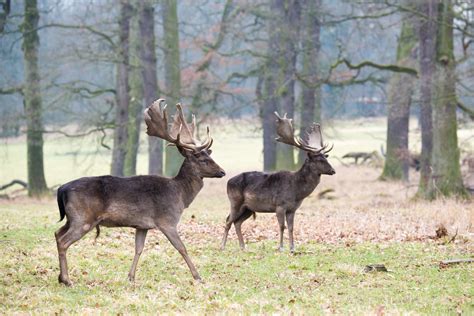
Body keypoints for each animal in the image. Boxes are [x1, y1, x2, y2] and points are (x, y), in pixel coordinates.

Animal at [54, 99, 225, 286]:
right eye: (203, 160)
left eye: (210, 156)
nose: (222, 172)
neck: (180, 195)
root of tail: (62, 189)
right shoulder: (167, 220)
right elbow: (182, 248)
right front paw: (198, 277)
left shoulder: (142, 225)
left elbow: (139, 249)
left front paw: (130, 277)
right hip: (83, 218)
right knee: (63, 241)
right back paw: (67, 280)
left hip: (72, 218)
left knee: (57, 233)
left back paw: (61, 277)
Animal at [221, 112, 336, 253]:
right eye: (319, 159)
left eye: (325, 157)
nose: (333, 170)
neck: (297, 192)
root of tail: (228, 182)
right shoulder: (280, 205)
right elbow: (282, 226)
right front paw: (281, 247)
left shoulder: (292, 209)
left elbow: (291, 227)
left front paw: (292, 248)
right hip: (235, 201)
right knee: (228, 220)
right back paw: (222, 246)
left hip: (247, 208)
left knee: (237, 222)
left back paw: (243, 247)